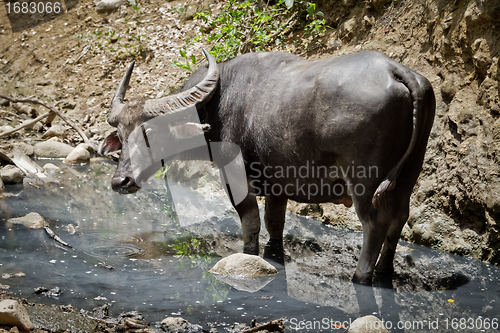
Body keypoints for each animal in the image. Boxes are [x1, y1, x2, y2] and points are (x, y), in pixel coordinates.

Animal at [99, 48, 436, 282]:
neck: (217, 103)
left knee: (375, 223)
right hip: (410, 170)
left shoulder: (235, 177)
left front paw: (248, 254)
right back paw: (384, 271)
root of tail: (396, 70)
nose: (120, 182)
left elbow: (250, 223)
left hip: (364, 180)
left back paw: (362, 275)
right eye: (121, 135)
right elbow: (275, 223)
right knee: (400, 217)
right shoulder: (279, 185)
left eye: (150, 134)